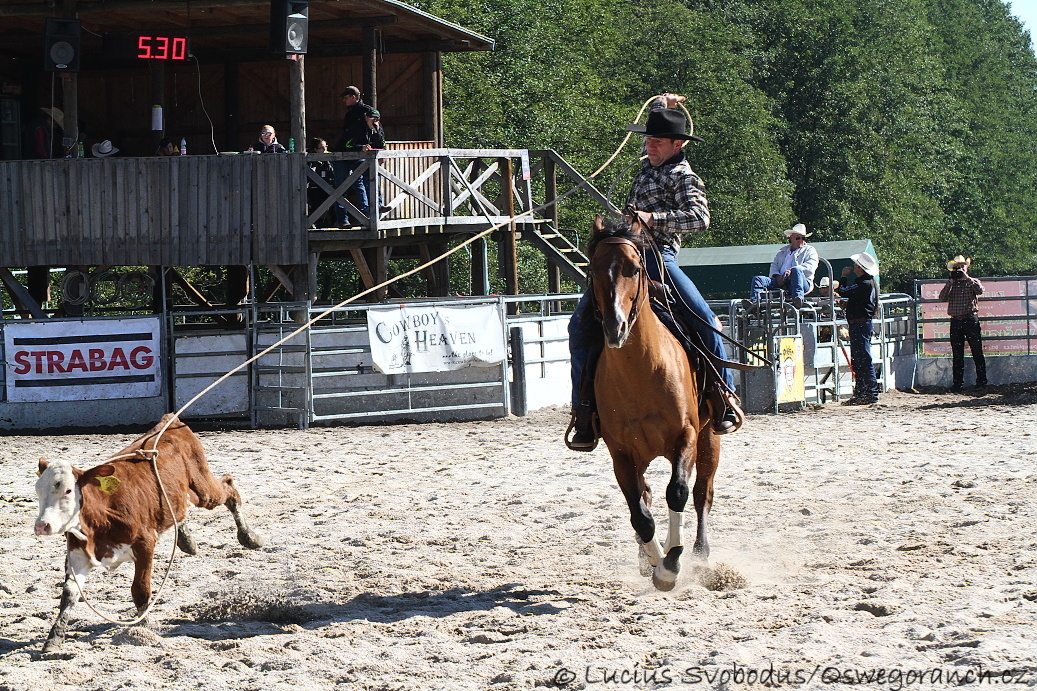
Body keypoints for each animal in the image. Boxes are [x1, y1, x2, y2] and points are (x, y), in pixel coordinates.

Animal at [34, 415, 265, 651]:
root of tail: (171, 421)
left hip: (203, 488)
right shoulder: (77, 553)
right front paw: (54, 638)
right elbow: (69, 594)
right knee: (180, 510)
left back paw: (249, 537)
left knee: (228, 487)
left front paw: (144, 629)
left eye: (68, 490)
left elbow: (140, 590)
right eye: (38, 490)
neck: (101, 514)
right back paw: (187, 540)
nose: (42, 525)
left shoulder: (145, 545)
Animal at [589, 213, 717, 585]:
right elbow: (640, 514)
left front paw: (671, 563)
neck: (642, 372)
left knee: (702, 493)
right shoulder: (621, 454)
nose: (615, 327)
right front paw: (656, 563)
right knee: (646, 495)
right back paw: (646, 558)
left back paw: (699, 552)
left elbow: (678, 492)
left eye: (634, 268)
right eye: (593, 268)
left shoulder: (686, 436)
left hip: (710, 437)